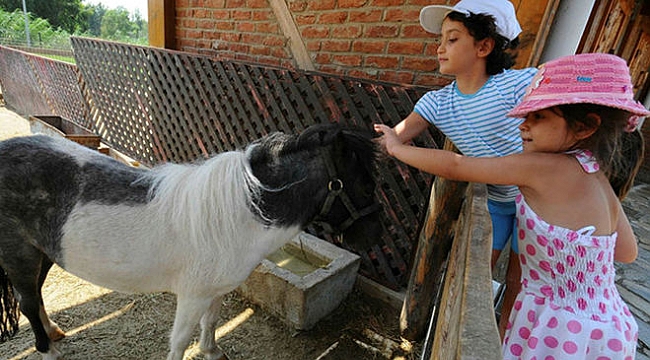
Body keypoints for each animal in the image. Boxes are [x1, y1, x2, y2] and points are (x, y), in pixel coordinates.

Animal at [0, 124, 380, 360]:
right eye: (364, 183)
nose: (372, 238)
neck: (238, 212)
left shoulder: (215, 290)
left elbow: (210, 322)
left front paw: (211, 351)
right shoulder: (193, 294)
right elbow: (180, 339)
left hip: (44, 252)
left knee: (35, 294)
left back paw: (54, 332)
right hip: (19, 255)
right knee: (27, 301)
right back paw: (48, 350)